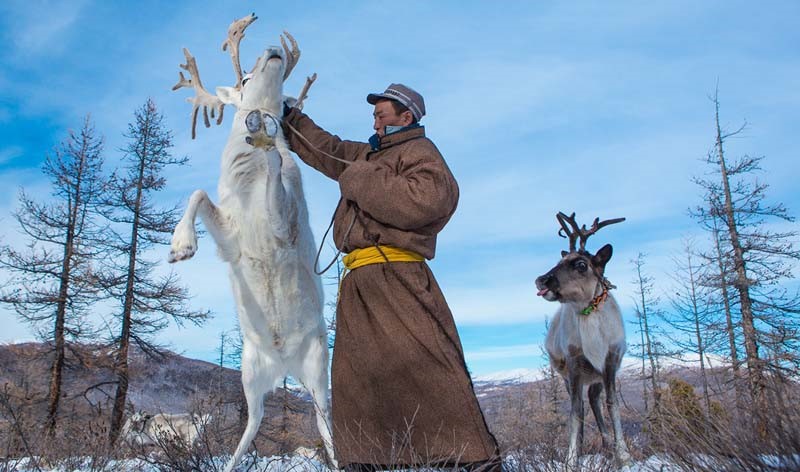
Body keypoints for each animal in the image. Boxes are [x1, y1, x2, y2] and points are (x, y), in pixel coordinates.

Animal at [167, 14, 334, 472]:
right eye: (243, 80)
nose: (273, 52)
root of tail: (284, 363)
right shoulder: (231, 236)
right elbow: (197, 194)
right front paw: (180, 249)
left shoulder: (285, 222)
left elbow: (277, 173)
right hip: (250, 373)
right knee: (253, 423)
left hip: (319, 369)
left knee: (324, 424)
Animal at [535, 212, 631, 470]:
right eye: (559, 260)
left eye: (581, 264)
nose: (541, 280)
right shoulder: (574, 364)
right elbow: (575, 412)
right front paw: (571, 459)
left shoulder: (609, 362)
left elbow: (612, 404)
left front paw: (623, 454)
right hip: (569, 377)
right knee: (580, 403)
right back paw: (582, 444)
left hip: (595, 377)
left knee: (594, 400)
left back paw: (607, 442)